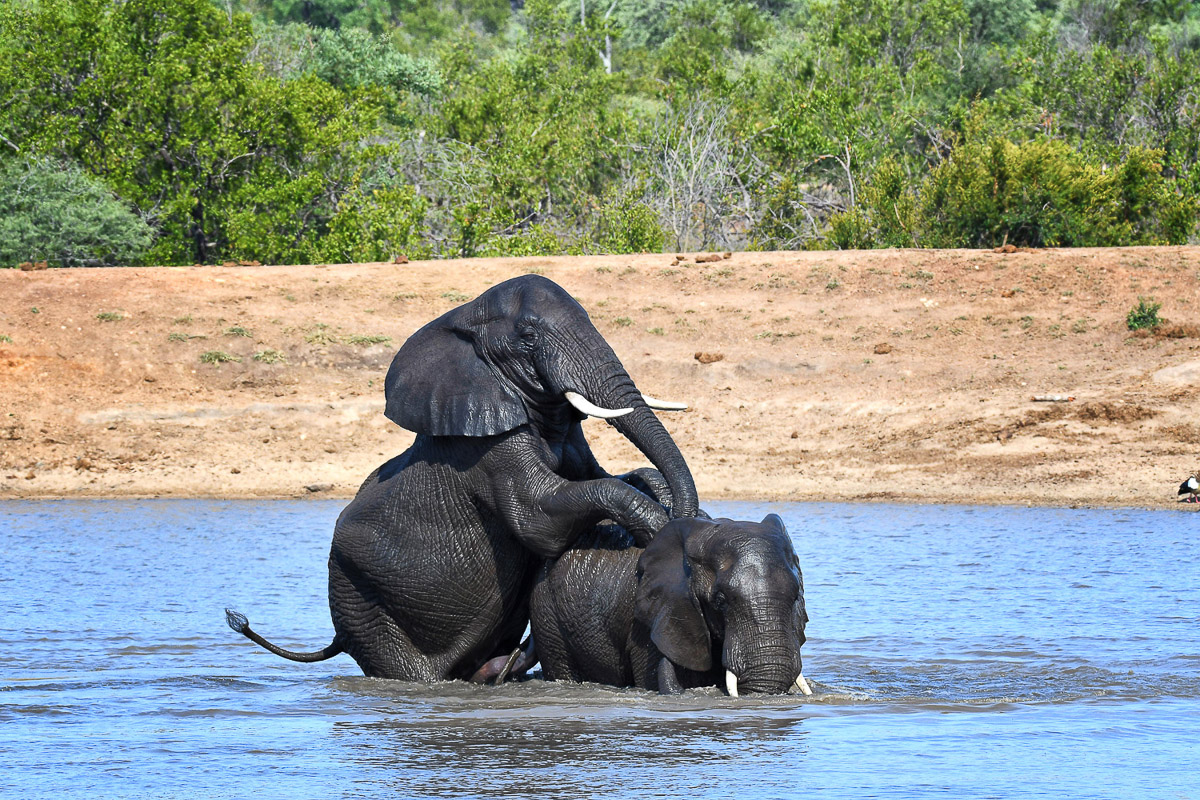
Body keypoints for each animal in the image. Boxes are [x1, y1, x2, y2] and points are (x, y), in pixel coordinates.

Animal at [226, 275, 699, 682]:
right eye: (529, 337)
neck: (466, 321)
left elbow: (614, 476)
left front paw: (667, 504)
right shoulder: (484, 449)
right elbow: (538, 517)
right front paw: (662, 525)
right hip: (362, 604)